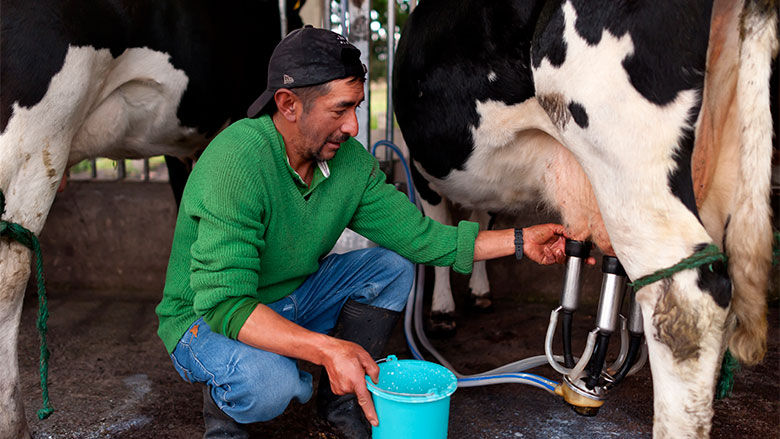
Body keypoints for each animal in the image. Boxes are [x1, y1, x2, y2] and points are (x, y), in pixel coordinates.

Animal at [394, 0, 776, 436]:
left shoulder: (420, 168)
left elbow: (442, 231)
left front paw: (443, 310)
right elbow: (478, 222)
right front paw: (478, 291)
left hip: (627, 153)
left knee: (687, 304)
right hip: (723, 169)